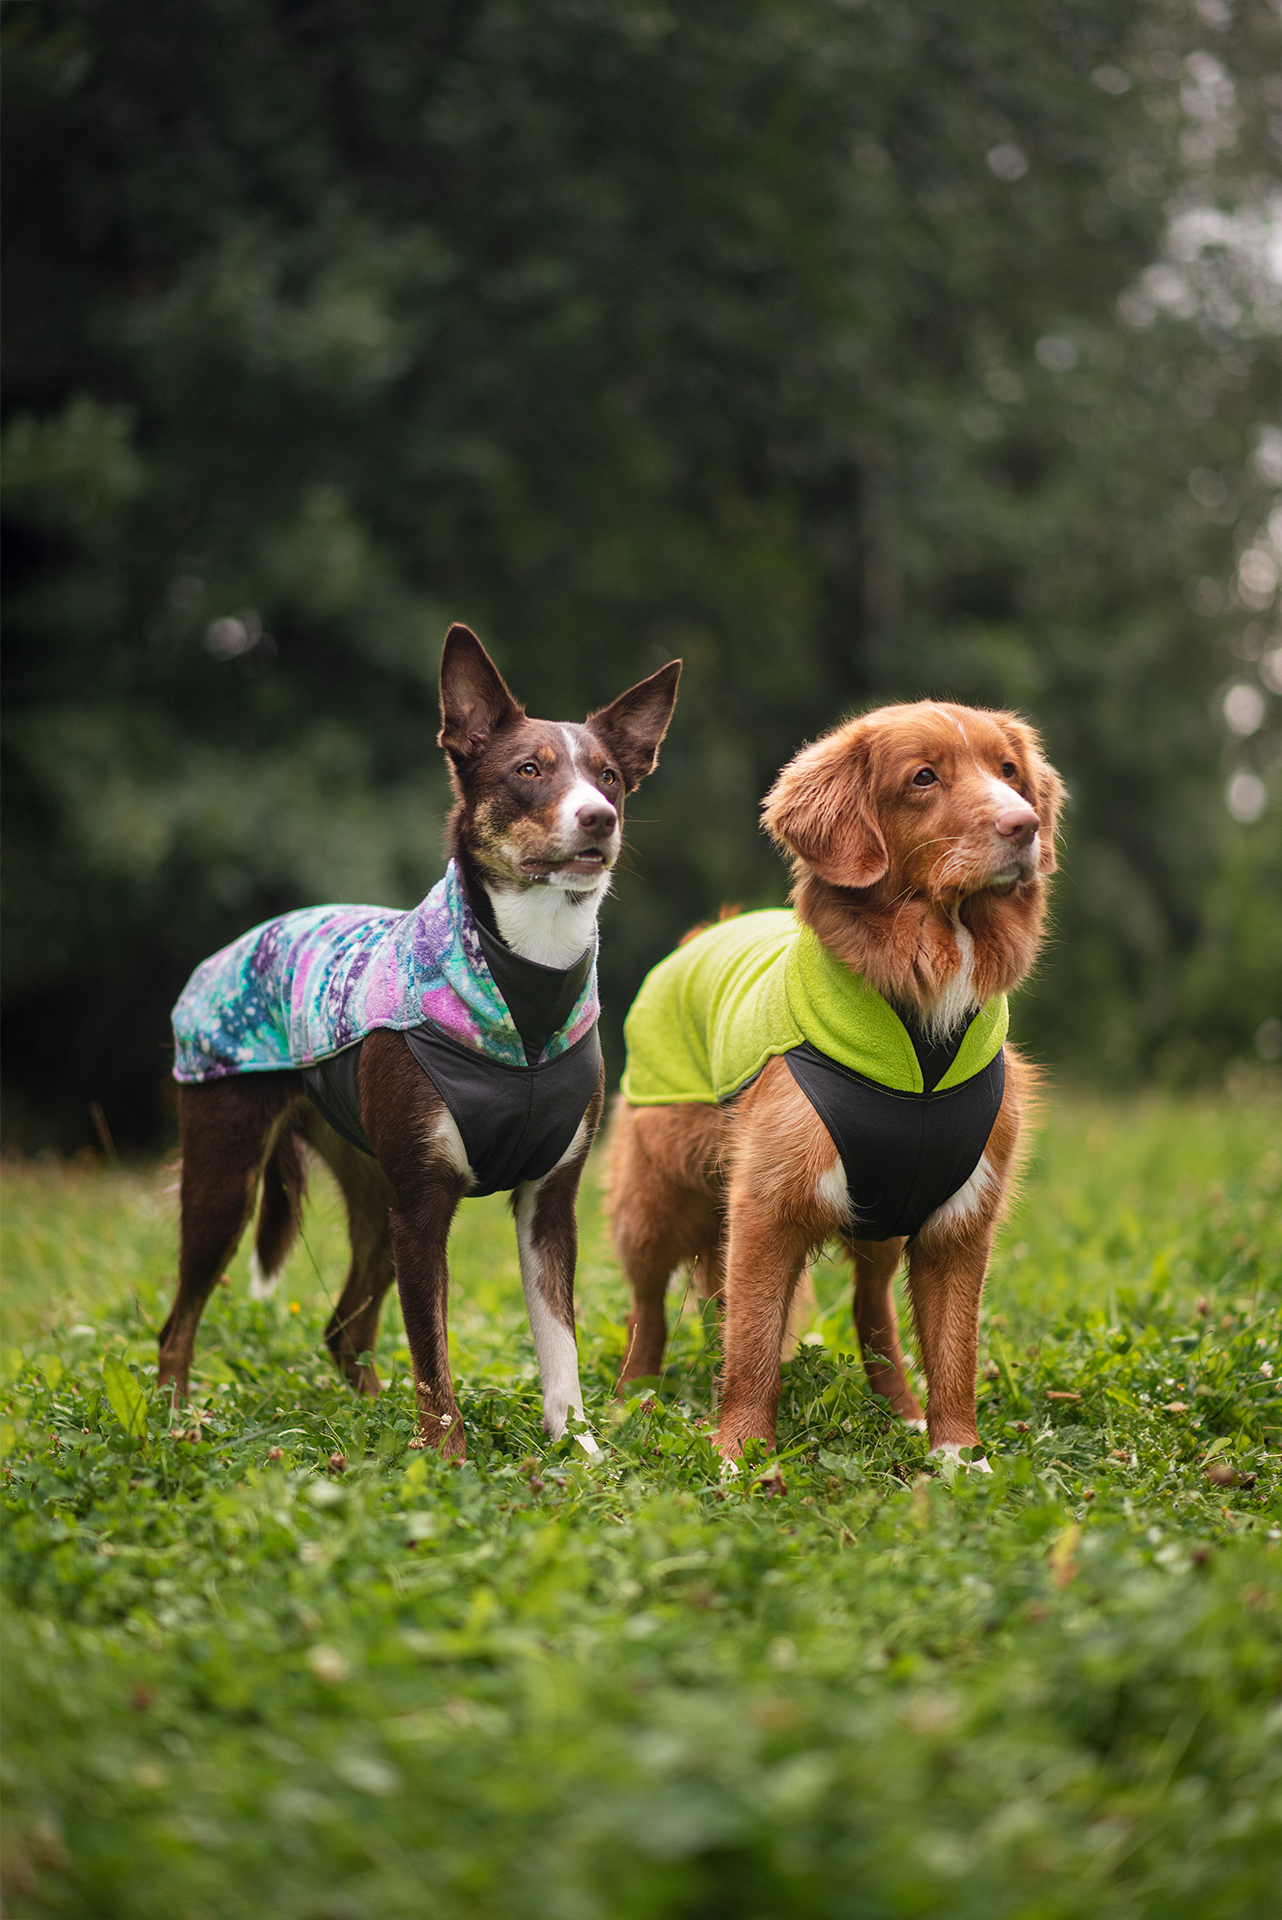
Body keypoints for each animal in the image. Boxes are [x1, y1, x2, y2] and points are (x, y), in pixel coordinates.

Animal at [157, 629, 679, 1451]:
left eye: (609, 777)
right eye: (529, 770)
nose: (600, 817)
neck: (525, 984)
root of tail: (244, 942)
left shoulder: (549, 1203)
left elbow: (558, 1347)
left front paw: (579, 1452)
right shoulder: (425, 1205)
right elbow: (434, 1360)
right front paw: (446, 1458)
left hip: (374, 1198)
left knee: (344, 1329)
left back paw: (368, 1417)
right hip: (226, 1174)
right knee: (178, 1325)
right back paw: (178, 1423)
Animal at [606, 698, 1067, 1459]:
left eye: (1008, 771)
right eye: (923, 777)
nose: (1024, 824)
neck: (919, 1027)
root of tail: (704, 933)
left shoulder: (960, 1221)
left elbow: (955, 1354)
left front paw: (956, 1455)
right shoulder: (765, 1206)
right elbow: (752, 1345)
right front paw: (740, 1453)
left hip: (884, 1219)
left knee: (872, 1309)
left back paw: (899, 1409)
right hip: (655, 1198)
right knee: (647, 1309)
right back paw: (628, 1401)